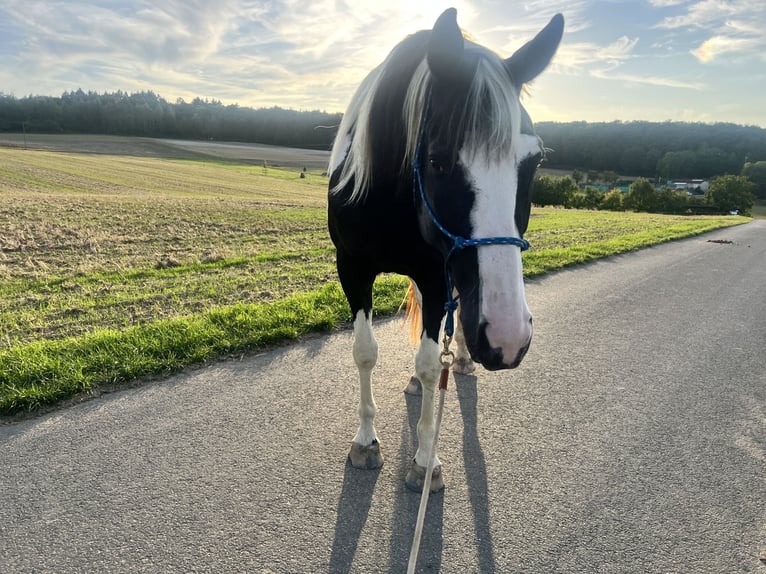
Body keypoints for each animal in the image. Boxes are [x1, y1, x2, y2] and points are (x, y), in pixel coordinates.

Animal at [327, 8, 564, 491]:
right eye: (437, 160)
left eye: (535, 162)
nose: (508, 337)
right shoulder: (352, 268)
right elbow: (365, 352)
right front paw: (366, 441)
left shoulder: (437, 274)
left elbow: (430, 361)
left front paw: (424, 459)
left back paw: (464, 359)